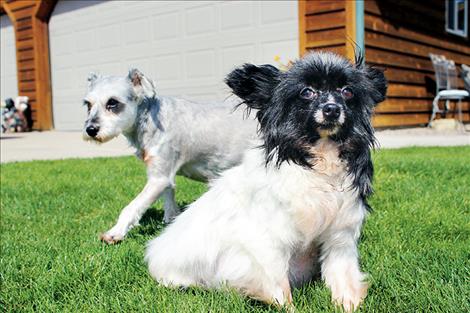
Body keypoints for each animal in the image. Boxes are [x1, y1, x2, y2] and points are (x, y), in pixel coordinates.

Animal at [145, 52, 388, 310]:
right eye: (307, 92)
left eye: (347, 91)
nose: (331, 109)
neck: (318, 162)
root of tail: (154, 251)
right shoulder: (268, 242)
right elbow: (279, 287)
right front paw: (290, 308)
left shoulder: (339, 239)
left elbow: (344, 280)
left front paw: (348, 305)